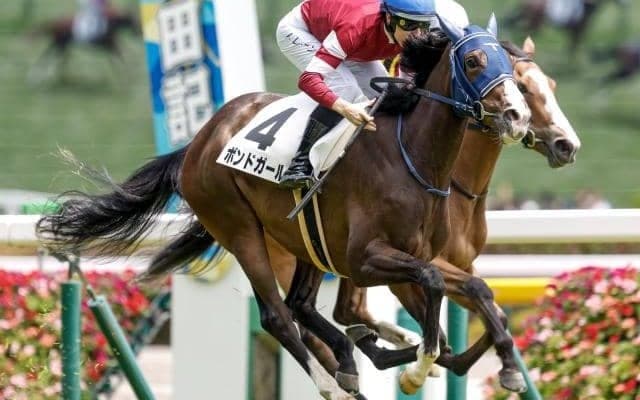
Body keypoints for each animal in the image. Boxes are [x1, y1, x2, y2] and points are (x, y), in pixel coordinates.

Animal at [36, 17, 530, 399]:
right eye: (474, 61)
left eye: (511, 68)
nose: (518, 117)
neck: (413, 157)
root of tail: (200, 140)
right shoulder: (366, 259)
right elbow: (433, 291)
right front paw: (417, 365)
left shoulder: (418, 254)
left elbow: (471, 296)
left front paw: (499, 363)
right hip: (240, 230)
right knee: (278, 315)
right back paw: (335, 381)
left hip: (307, 239)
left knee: (301, 305)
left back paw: (352, 357)